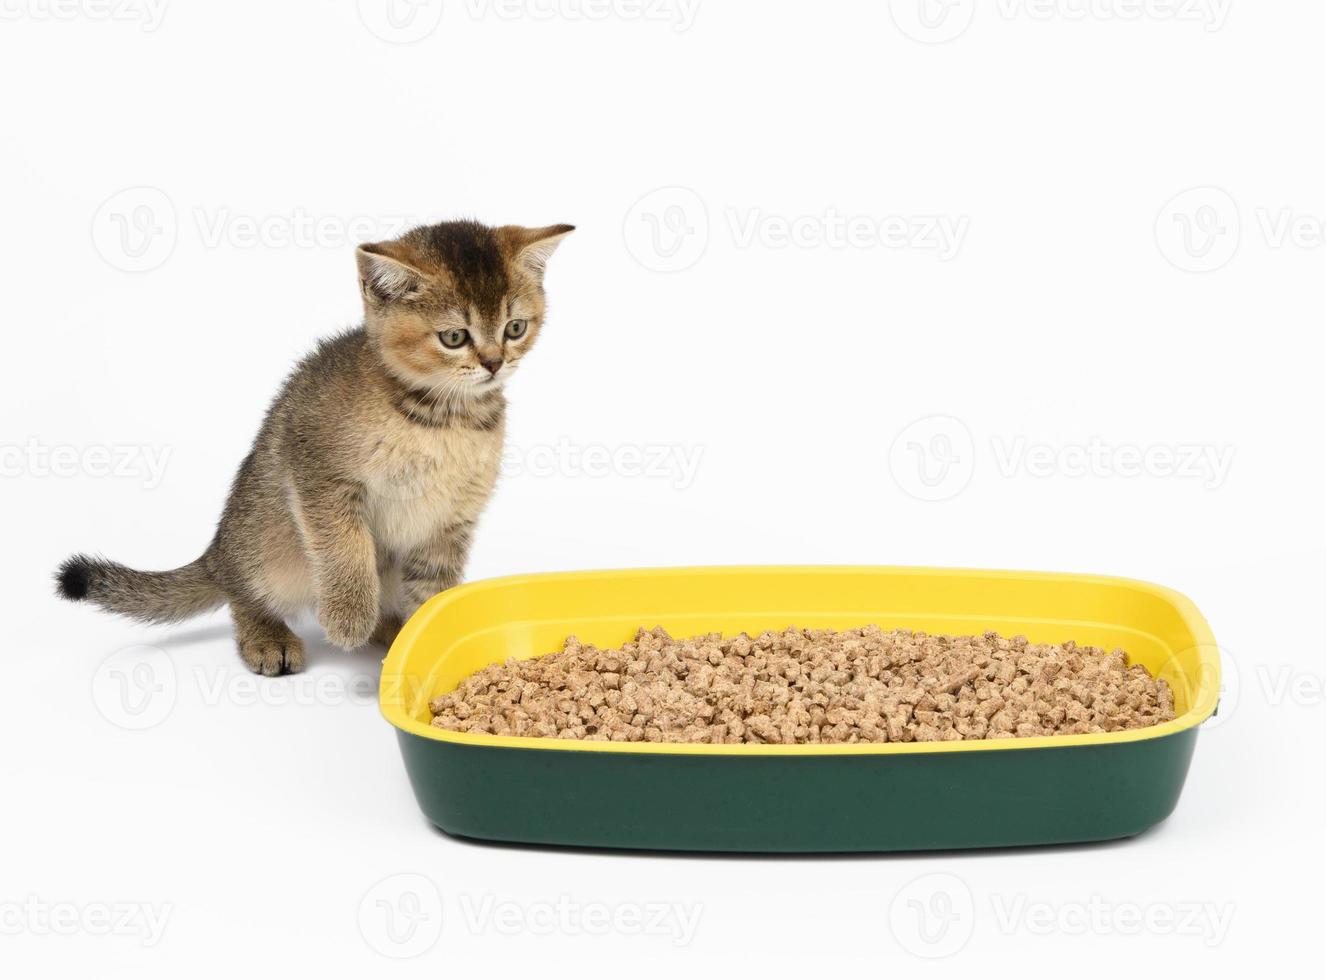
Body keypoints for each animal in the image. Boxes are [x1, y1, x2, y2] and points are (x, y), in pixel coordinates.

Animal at [59, 216, 572, 673]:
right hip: (268, 545)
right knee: (242, 592)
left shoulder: (450, 521)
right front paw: (349, 619)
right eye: (454, 337)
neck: (443, 419)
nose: (493, 363)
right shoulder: (320, 477)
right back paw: (269, 636)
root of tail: (218, 550)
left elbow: (432, 591)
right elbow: (347, 549)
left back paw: (388, 628)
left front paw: (422, 642)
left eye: (515, 328)